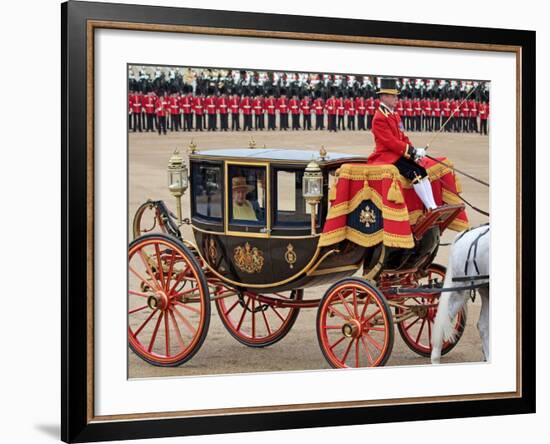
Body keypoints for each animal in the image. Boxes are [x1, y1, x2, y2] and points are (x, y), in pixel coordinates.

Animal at [432, 225, 492, 364]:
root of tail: (463, 235)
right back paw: (435, 359)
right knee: (444, 320)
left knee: (483, 325)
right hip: (461, 291)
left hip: (485, 289)